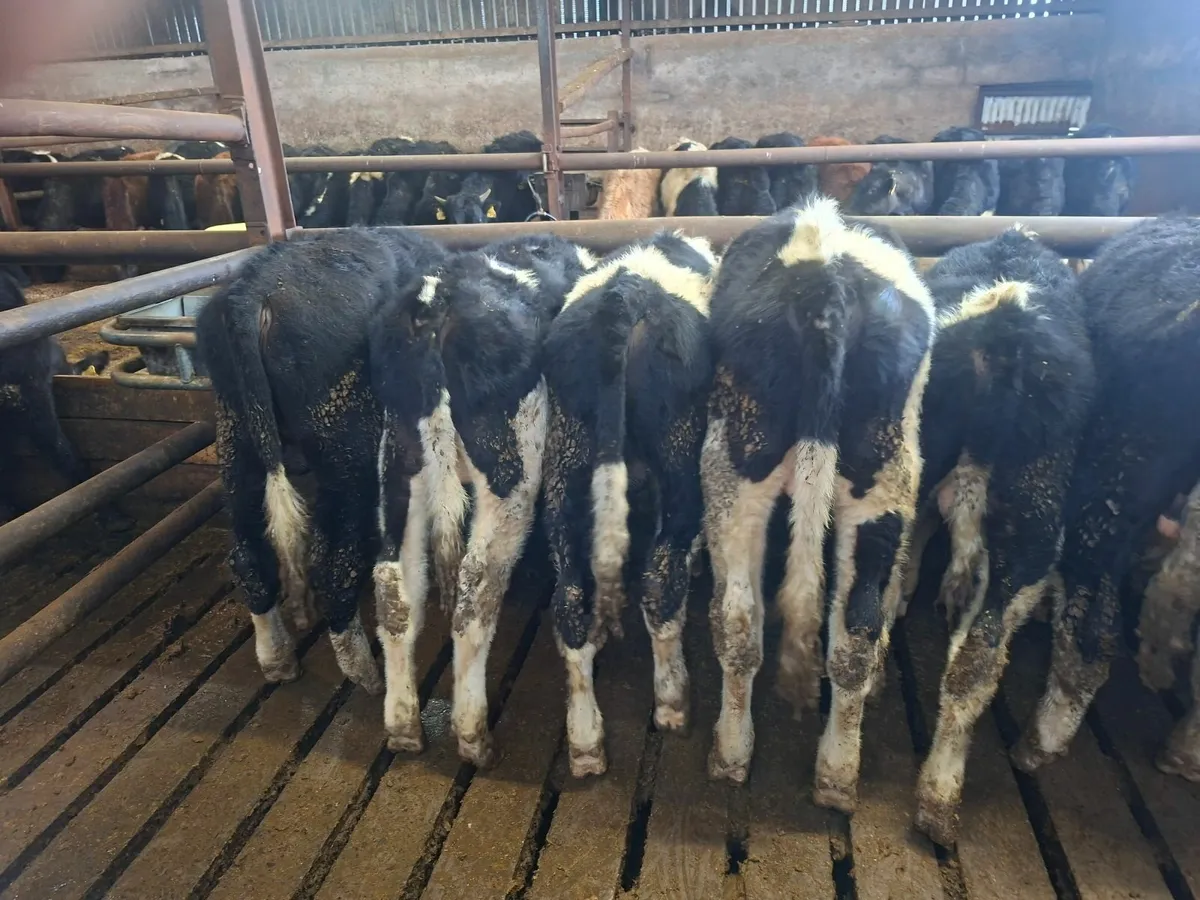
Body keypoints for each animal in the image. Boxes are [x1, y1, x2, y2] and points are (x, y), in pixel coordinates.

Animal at [196, 228, 449, 694]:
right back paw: (367, 676)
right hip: (347, 442)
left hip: (234, 431)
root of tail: (251, 295)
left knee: (247, 557)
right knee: (333, 567)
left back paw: (278, 662)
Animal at [369, 233, 594, 765]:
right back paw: (472, 734)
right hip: (512, 475)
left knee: (394, 585)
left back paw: (404, 725)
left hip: (399, 463)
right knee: (476, 589)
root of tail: (433, 303)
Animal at [541, 231, 718, 776]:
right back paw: (673, 702)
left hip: (566, 450)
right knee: (660, 578)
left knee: (569, 596)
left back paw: (585, 741)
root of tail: (626, 297)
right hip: (680, 447)